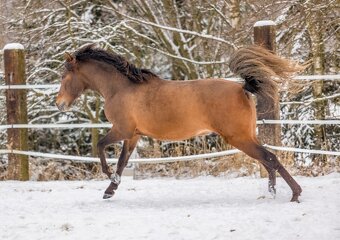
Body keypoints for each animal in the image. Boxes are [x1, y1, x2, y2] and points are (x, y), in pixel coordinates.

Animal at [55, 44, 302, 202]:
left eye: (63, 76)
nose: (59, 104)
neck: (121, 88)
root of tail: (243, 88)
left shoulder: (122, 130)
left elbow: (100, 146)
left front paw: (109, 177)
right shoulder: (133, 135)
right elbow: (123, 162)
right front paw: (110, 190)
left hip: (239, 138)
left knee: (270, 158)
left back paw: (294, 194)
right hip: (248, 136)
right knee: (267, 160)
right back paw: (272, 192)